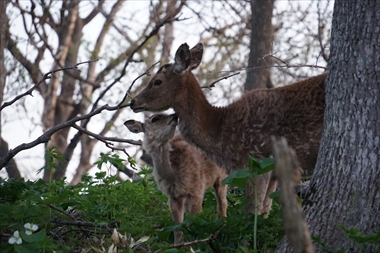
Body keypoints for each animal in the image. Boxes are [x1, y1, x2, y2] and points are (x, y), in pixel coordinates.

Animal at [124, 112, 227, 243]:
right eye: (154, 119)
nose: (174, 115)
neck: (174, 176)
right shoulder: (173, 195)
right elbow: (178, 227)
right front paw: (178, 244)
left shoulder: (197, 188)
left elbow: (197, 219)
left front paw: (199, 241)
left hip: (223, 176)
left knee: (222, 204)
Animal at [131, 43, 326, 215]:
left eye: (157, 81)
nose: (133, 101)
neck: (220, 130)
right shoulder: (274, 170)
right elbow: (265, 210)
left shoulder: (259, 159)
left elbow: (252, 210)